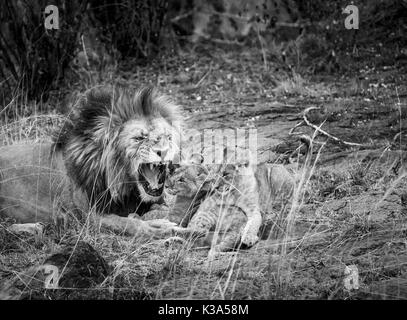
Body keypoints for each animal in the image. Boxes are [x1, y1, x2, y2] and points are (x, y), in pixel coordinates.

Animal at [0, 86, 186, 239]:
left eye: (168, 137)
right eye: (139, 138)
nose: (164, 151)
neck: (120, 181)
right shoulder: (87, 217)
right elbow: (127, 223)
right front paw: (157, 227)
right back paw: (32, 228)